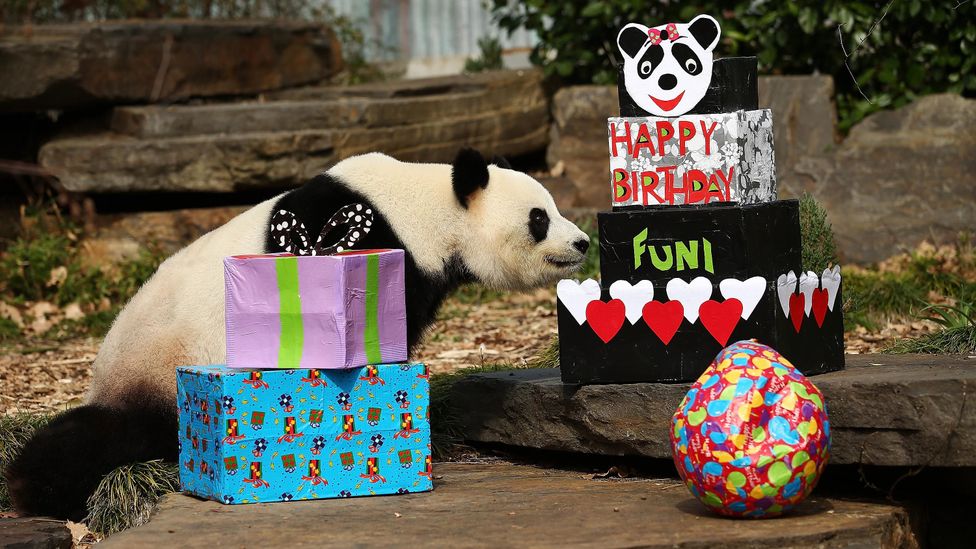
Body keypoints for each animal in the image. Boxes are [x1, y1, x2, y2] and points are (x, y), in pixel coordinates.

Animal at [7, 147, 588, 520]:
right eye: (539, 218)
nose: (582, 242)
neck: (429, 207)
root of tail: (104, 377)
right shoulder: (369, 240)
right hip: (157, 371)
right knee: (103, 436)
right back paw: (37, 489)